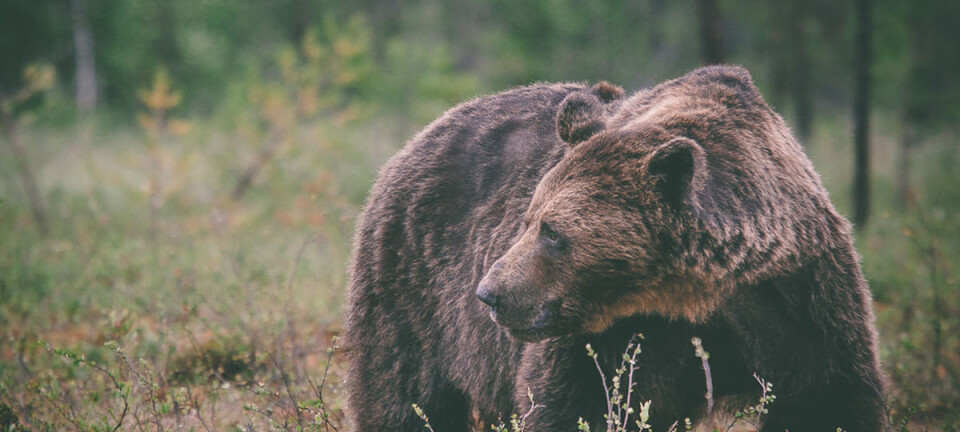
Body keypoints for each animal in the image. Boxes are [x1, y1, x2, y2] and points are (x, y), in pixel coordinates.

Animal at [343, 66, 887, 432]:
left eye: (552, 232)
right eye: (527, 219)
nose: (489, 294)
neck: (693, 292)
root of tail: (421, 135)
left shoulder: (798, 299)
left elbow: (830, 402)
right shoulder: (610, 340)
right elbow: (575, 405)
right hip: (411, 290)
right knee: (404, 395)